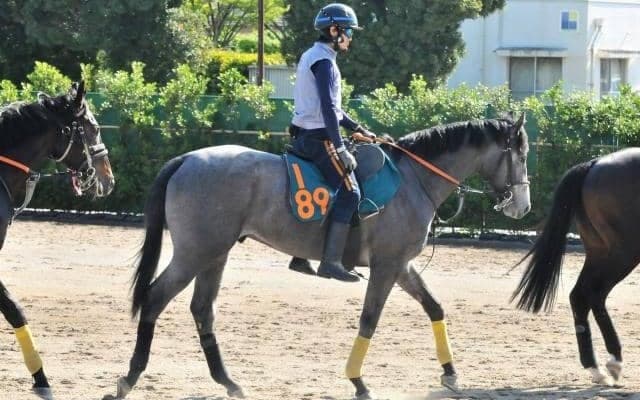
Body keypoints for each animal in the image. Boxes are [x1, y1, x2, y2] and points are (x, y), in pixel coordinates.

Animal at [109, 114, 530, 400]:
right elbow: (369, 319)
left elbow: (434, 306)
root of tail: (187, 159)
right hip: (195, 254)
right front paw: (358, 380)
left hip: (214, 254)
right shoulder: (387, 266)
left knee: (202, 310)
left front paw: (450, 372)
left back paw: (228, 381)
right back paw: (130, 377)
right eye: (522, 155)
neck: (414, 179)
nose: (522, 206)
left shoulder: (402, 265)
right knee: (154, 299)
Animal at [512, 147, 640, 386]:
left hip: (600, 251)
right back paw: (612, 361)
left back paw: (596, 368)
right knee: (592, 293)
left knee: (582, 296)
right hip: (623, 253)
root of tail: (595, 163)